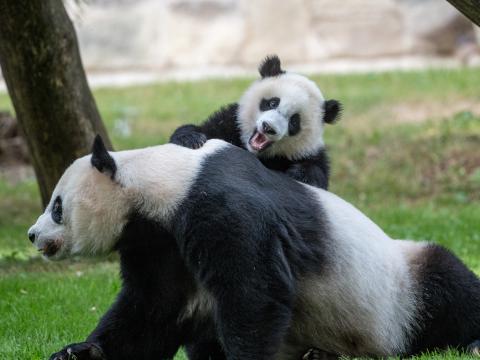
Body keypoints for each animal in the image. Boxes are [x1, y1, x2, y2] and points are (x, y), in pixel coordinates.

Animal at [31, 136, 480, 358]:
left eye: (57, 206)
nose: (32, 235)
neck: (162, 183)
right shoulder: (157, 244)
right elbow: (153, 309)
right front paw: (80, 352)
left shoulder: (220, 208)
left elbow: (253, 293)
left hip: (398, 289)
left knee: (448, 284)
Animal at [170, 54, 342, 190]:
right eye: (272, 103)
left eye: (294, 122)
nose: (268, 127)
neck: (256, 153)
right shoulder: (230, 123)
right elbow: (205, 130)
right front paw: (191, 138)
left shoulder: (307, 153)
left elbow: (317, 171)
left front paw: (300, 174)